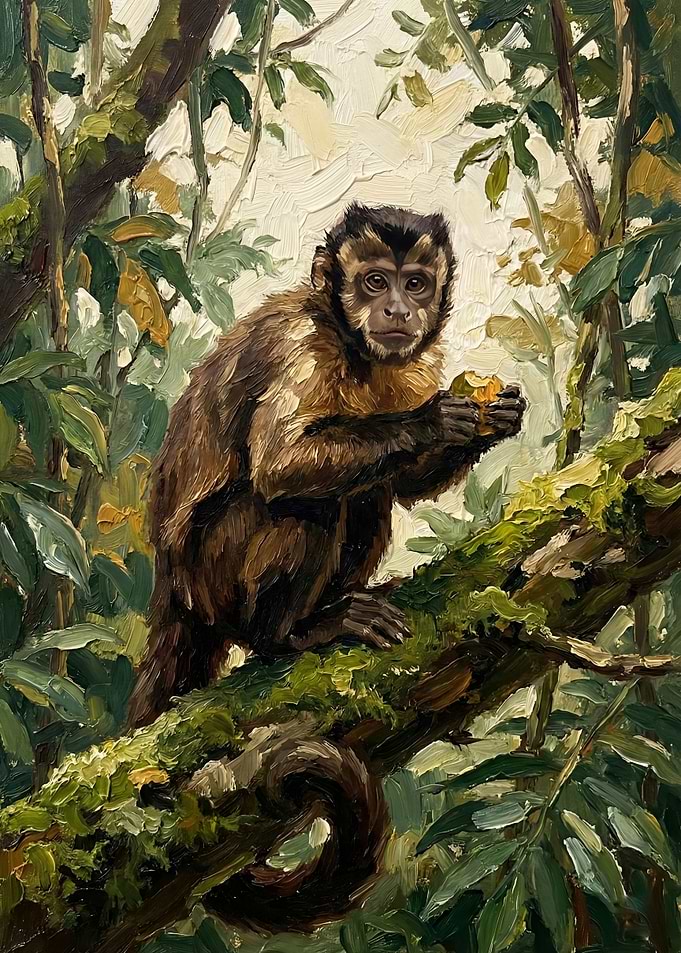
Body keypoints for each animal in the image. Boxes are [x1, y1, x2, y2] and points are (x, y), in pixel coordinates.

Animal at [127, 202, 526, 730]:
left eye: (415, 284)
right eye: (375, 282)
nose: (398, 310)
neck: (352, 345)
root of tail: (171, 586)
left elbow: (403, 484)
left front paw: (496, 421)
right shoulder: (304, 345)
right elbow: (279, 465)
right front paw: (430, 421)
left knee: (367, 490)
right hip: (209, 574)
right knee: (308, 505)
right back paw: (289, 634)